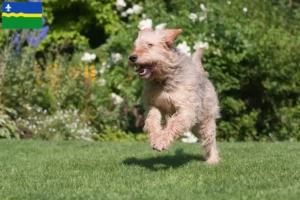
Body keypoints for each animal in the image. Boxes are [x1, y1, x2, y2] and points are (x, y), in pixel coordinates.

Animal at [128, 28, 220, 163]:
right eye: (135, 46)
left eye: (150, 45)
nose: (132, 57)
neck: (164, 80)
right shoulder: (154, 105)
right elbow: (152, 121)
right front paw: (156, 137)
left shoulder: (187, 109)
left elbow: (174, 124)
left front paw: (161, 142)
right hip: (196, 126)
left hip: (206, 120)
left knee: (209, 139)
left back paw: (213, 159)